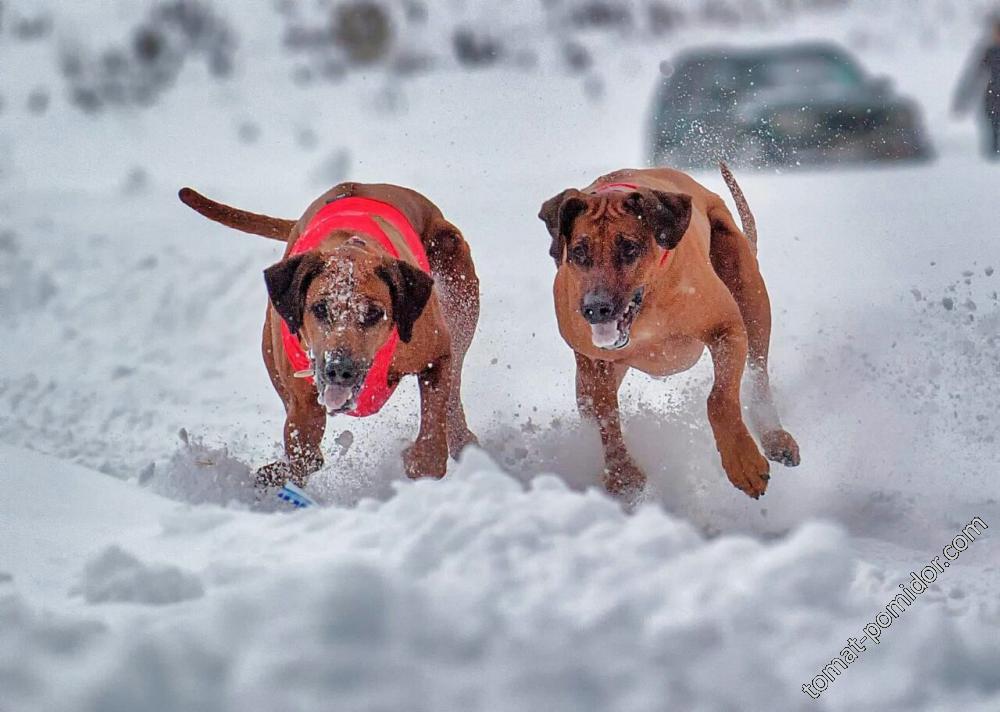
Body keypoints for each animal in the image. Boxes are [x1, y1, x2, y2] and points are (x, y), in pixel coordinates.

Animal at [180, 181, 480, 486]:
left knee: (455, 376)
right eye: (320, 308)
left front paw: (421, 462)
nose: (340, 369)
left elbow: (435, 423)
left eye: (374, 313)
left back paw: (462, 440)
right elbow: (305, 451)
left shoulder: (436, 354)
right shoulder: (303, 399)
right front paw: (279, 474)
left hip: (456, 276)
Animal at [540, 165, 796, 500]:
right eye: (580, 252)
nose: (596, 308)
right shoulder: (594, 362)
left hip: (748, 289)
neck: (648, 308)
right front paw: (623, 475)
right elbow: (605, 417)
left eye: (629, 248)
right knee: (588, 409)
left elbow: (719, 400)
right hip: (586, 378)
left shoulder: (727, 329)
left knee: (758, 370)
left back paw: (774, 436)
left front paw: (743, 462)